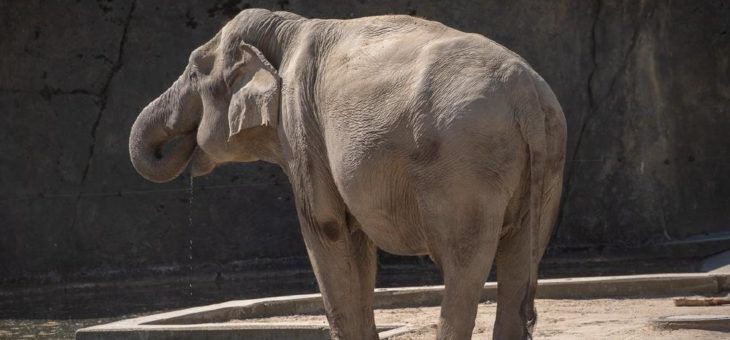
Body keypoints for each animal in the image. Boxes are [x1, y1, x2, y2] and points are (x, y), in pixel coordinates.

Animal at [128, 7, 564, 340]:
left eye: (193, 71)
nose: (185, 148)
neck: (286, 29)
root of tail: (526, 95)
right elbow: (356, 244)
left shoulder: (301, 128)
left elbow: (325, 228)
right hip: (545, 163)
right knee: (519, 262)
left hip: (464, 166)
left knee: (462, 265)